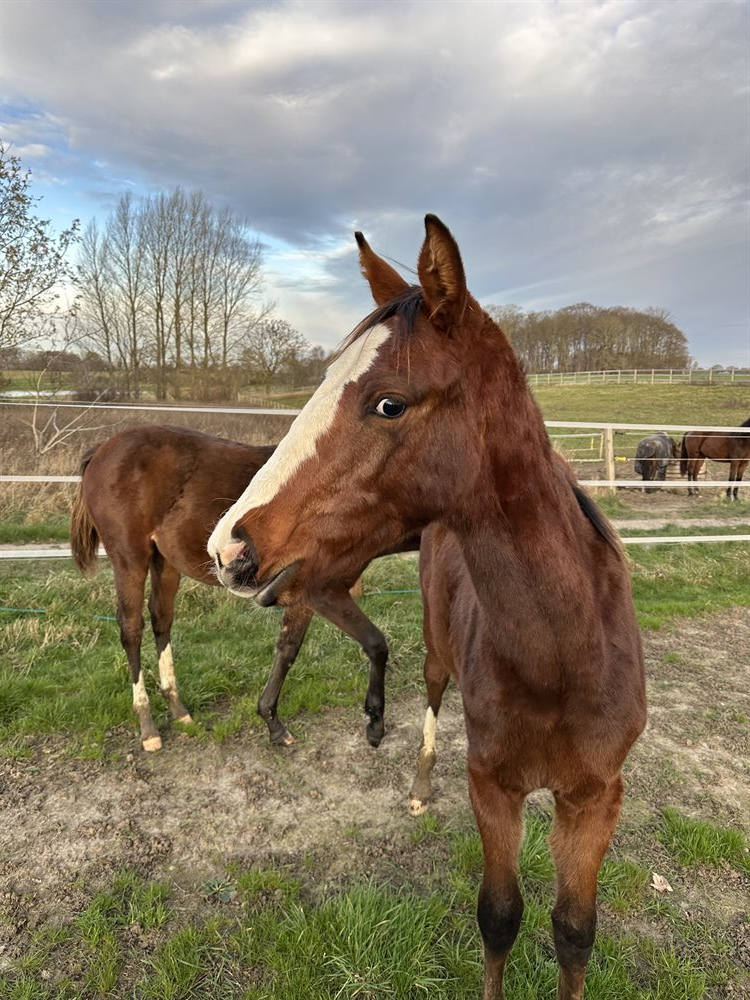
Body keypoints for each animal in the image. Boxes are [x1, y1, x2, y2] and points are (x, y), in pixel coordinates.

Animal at [70, 424, 411, 752]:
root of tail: (102, 449)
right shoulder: (318, 590)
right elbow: (370, 643)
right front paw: (371, 724)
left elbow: (288, 647)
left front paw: (272, 721)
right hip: (130, 559)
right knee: (131, 628)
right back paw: (147, 726)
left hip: (163, 561)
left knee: (161, 619)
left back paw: (178, 709)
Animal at [205, 215, 647, 1000]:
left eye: (389, 402)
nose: (228, 545)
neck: (565, 651)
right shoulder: (493, 788)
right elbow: (499, 915)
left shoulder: (595, 798)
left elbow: (573, 932)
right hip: (439, 656)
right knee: (433, 700)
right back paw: (415, 782)